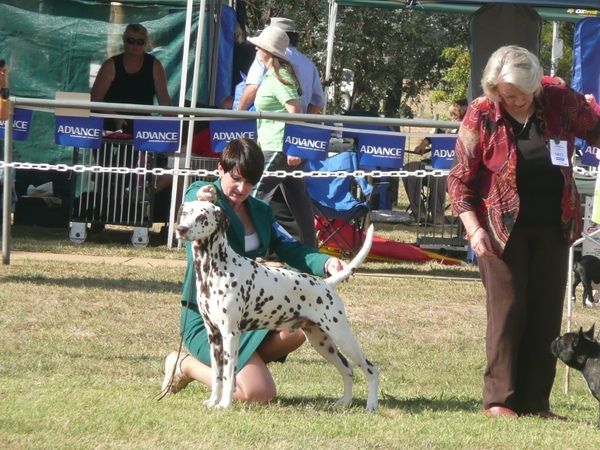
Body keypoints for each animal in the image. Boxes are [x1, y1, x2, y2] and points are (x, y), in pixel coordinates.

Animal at [176, 200, 379, 411]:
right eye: (185, 213)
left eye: (201, 217)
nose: (181, 229)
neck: (215, 269)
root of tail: (326, 283)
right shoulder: (214, 336)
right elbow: (217, 376)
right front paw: (213, 401)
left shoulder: (230, 335)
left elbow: (228, 376)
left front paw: (224, 404)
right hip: (322, 343)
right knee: (347, 369)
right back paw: (345, 402)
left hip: (342, 337)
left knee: (371, 370)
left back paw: (371, 405)